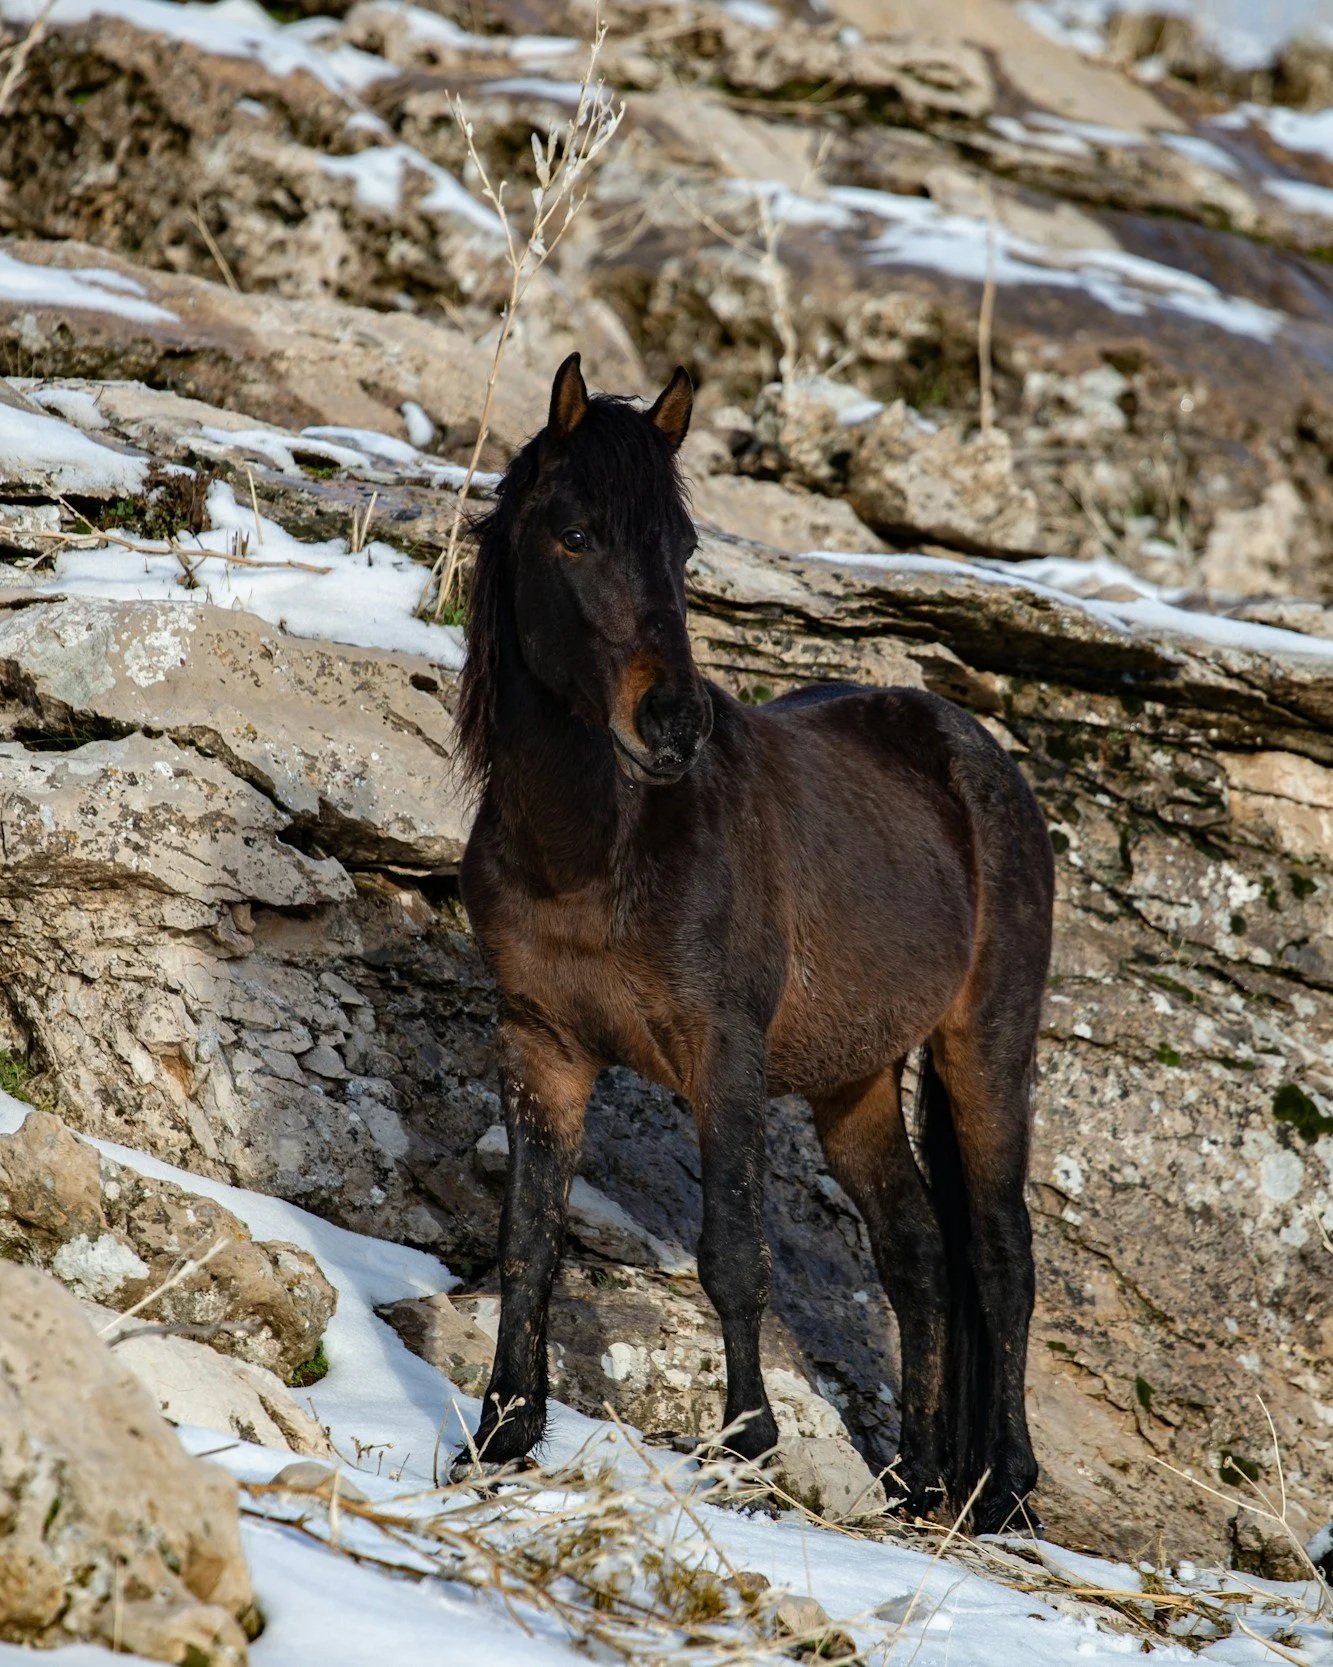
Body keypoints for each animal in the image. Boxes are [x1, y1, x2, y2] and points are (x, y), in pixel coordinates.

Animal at [455, 352, 1055, 1533]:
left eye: (683, 547)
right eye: (574, 534)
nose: (674, 723)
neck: (594, 849)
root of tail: (980, 757)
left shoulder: (719, 1052)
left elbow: (734, 1254)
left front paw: (746, 1449)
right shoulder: (540, 1043)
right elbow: (528, 1237)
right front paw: (498, 1436)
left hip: (986, 1049)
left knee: (1001, 1254)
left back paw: (1002, 1487)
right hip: (852, 1080)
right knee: (916, 1252)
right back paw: (918, 1479)